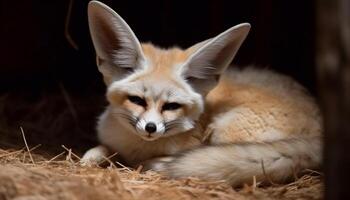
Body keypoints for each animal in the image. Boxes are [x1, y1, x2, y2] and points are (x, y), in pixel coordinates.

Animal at [82, 0, 322, 187]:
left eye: (171, 106)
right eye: (137, 100)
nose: (151, 128)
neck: (135, 149)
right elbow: (97, 150)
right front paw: (89, 160)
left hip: (224, 130)